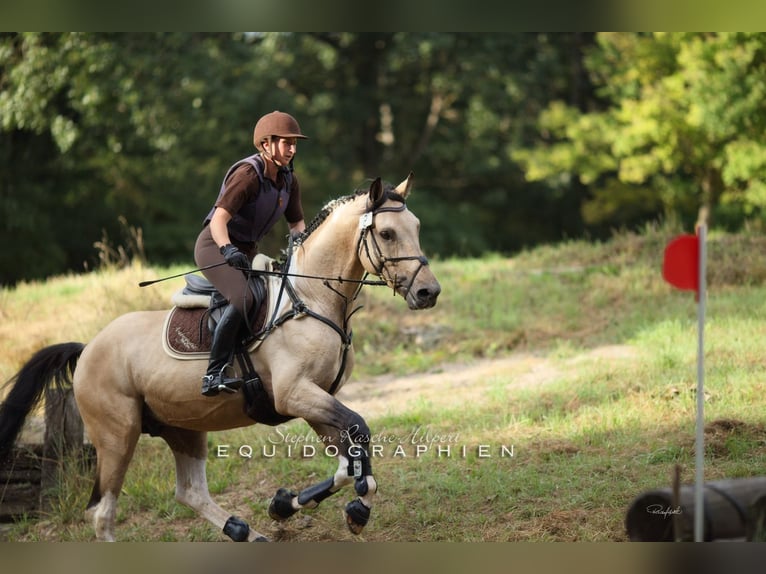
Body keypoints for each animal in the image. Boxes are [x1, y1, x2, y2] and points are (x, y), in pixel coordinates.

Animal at [0, 173, 440, 544]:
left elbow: (348, 463)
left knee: (188, 492)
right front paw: (358, 509)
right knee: (102, 512)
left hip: (182, 427)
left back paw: (246, 533)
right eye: (387, 232)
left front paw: (285, 506)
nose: (428, 293)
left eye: (417, 228)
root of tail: (88, 347)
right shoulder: (295, 395)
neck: (312, 300)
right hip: (117, 434)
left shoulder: (317, 400)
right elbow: (359, 432)